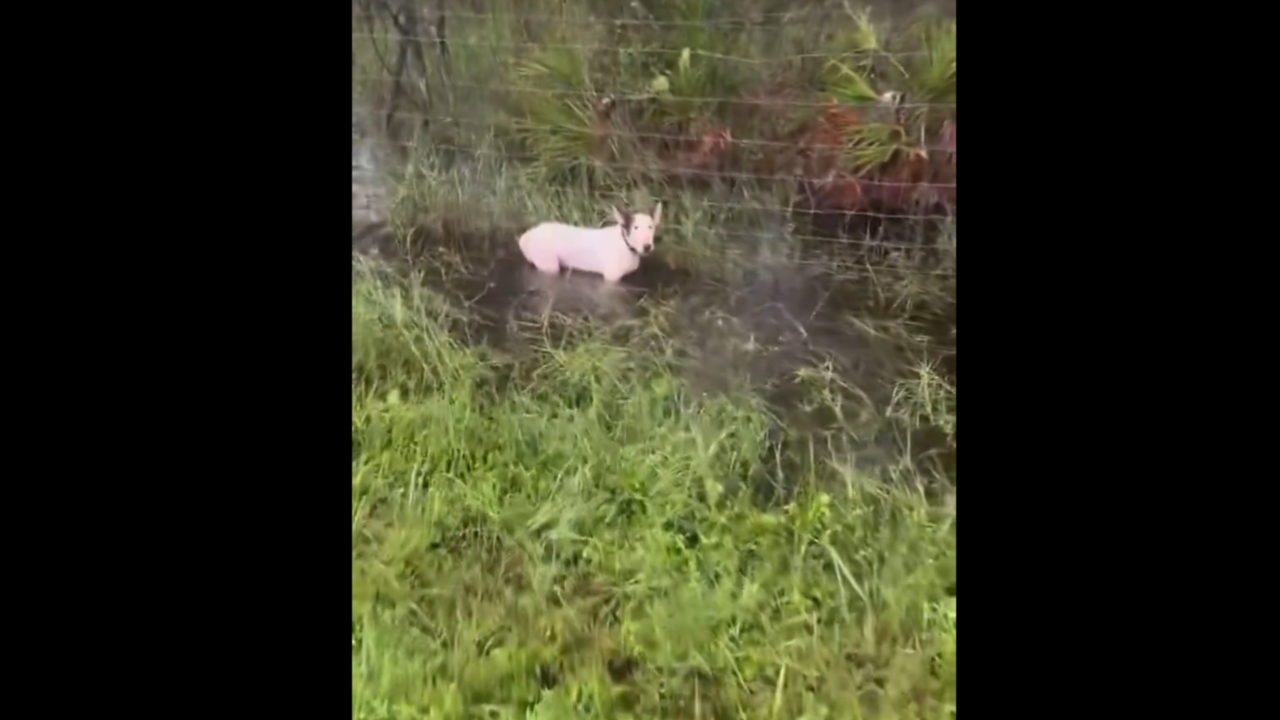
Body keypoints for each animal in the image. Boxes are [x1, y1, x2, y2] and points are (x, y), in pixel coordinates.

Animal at [517, 203, 665, 281]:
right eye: (635, 227)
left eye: (651, 227)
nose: (647, 246)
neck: (626, 245)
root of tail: (528, 235)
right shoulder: (611, 278)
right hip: (549, 264)